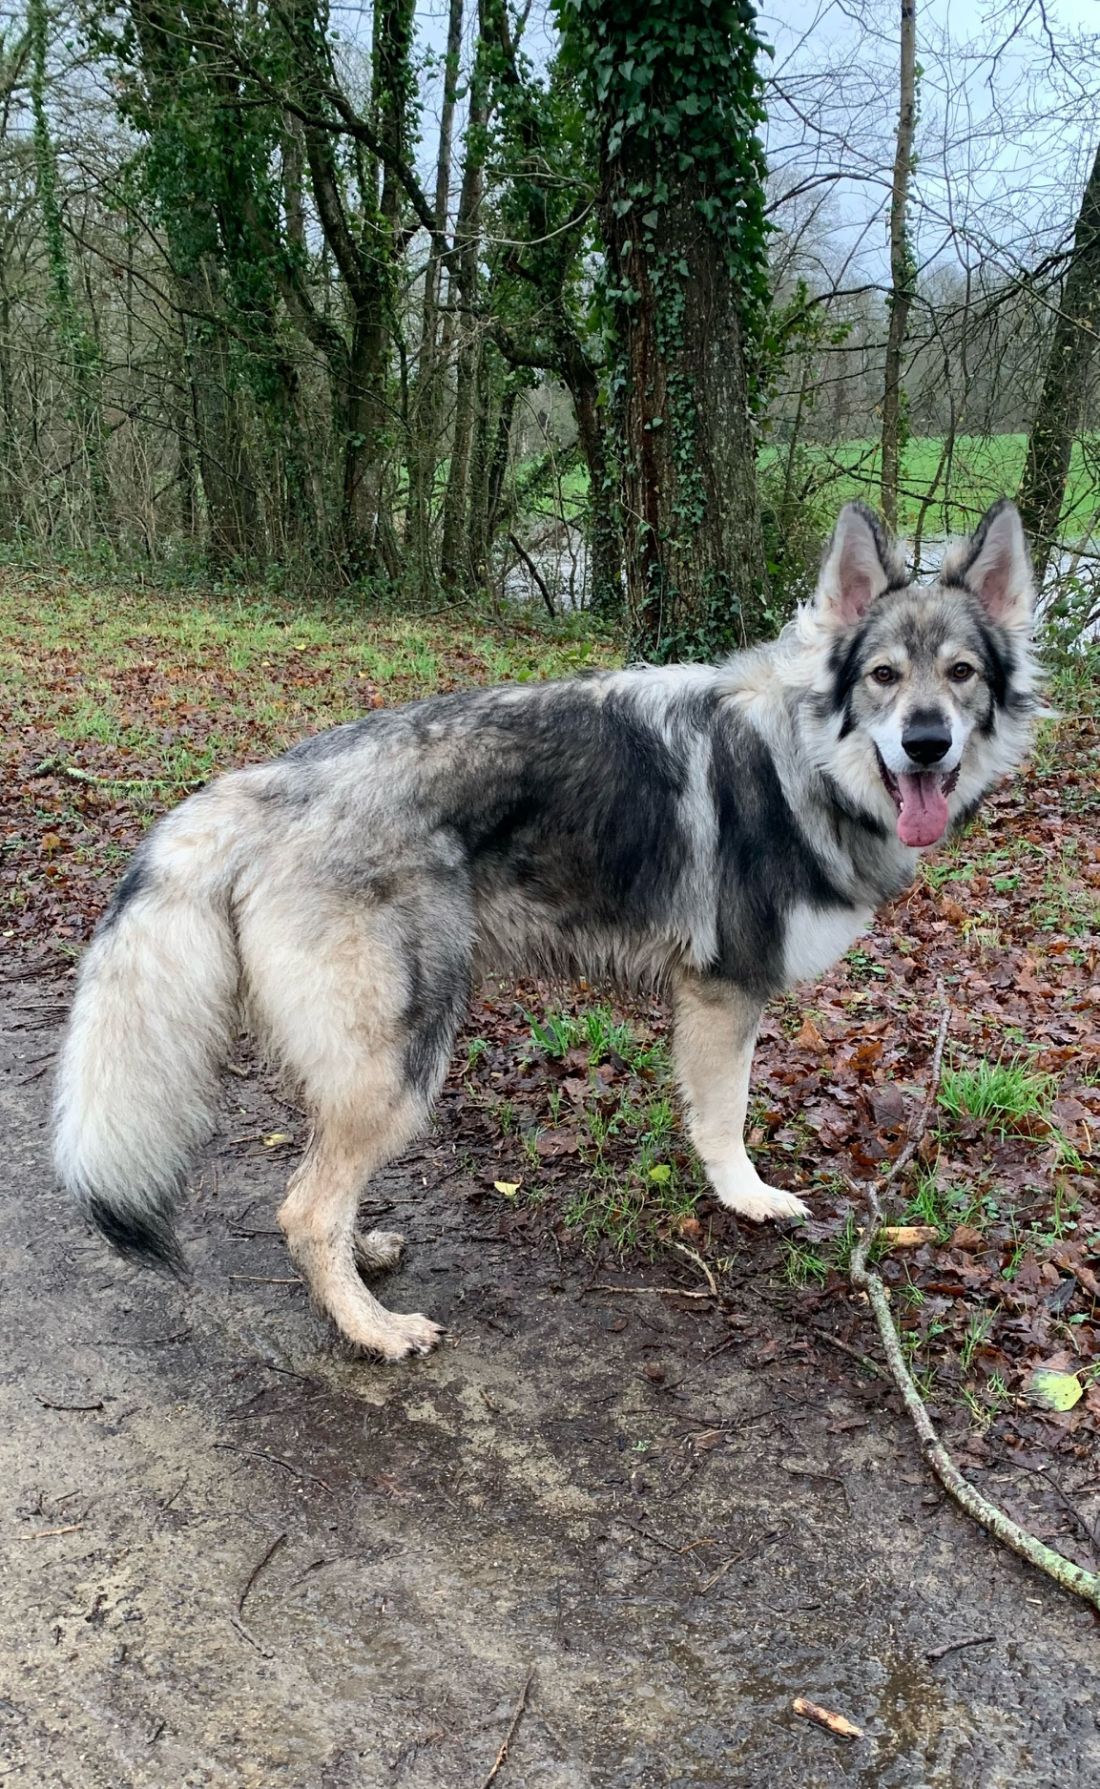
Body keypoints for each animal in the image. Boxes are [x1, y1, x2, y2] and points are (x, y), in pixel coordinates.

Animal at [54, 499, 1042, 1360]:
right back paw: (373, 1329)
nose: (926, 742)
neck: (802, 755)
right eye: (884, 676)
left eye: (961, 674)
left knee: (314, 1191)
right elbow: (725, 1118)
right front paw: (747, 1199)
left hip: (361, 1067)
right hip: (402, 1064)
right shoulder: (725, 995)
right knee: (303, 1211)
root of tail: (264, 785)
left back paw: (364, 1260)